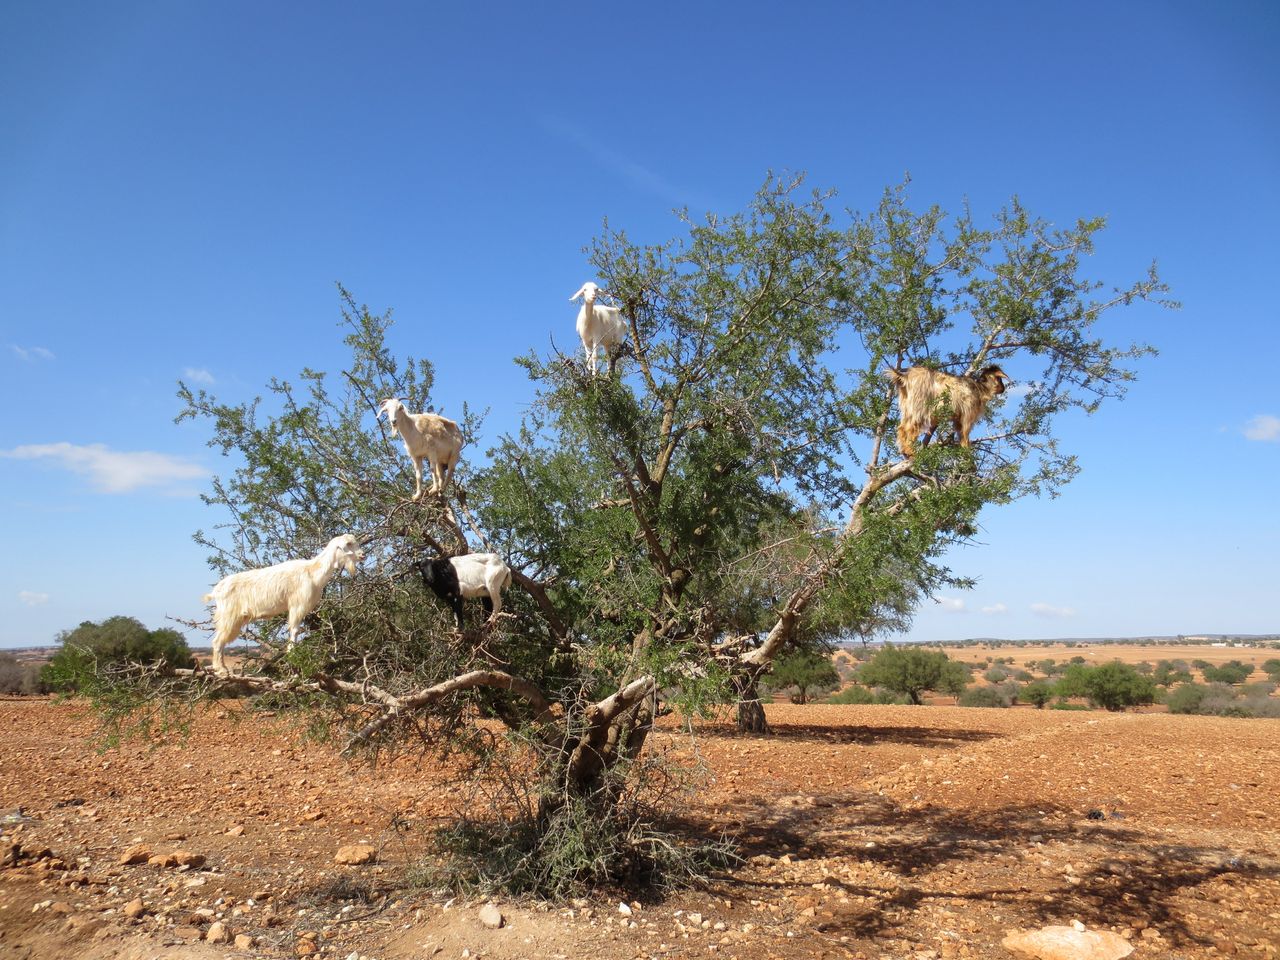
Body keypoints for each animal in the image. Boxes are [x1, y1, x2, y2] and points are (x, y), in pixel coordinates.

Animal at [204, 535, 363, 675]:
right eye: (348, 544)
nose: (362, 554)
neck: (312, 571)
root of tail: (217, 590)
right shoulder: (297, 605)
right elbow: (294, 630)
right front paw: (293, 654)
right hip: (228, 616)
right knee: (217, 641)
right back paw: (221, 669)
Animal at [880, 368, 1008, 458]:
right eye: (999, 378)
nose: (1003, 388)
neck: (980, 389)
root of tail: (905, 377)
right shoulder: (967, 414)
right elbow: (965, 433)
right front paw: (967, 450)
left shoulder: (958, 419)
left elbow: (960, 432)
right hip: (919, 407)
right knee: (910, 428)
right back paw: (909, 451)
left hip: (908, 408)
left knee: (902, 427)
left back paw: (905, 452)